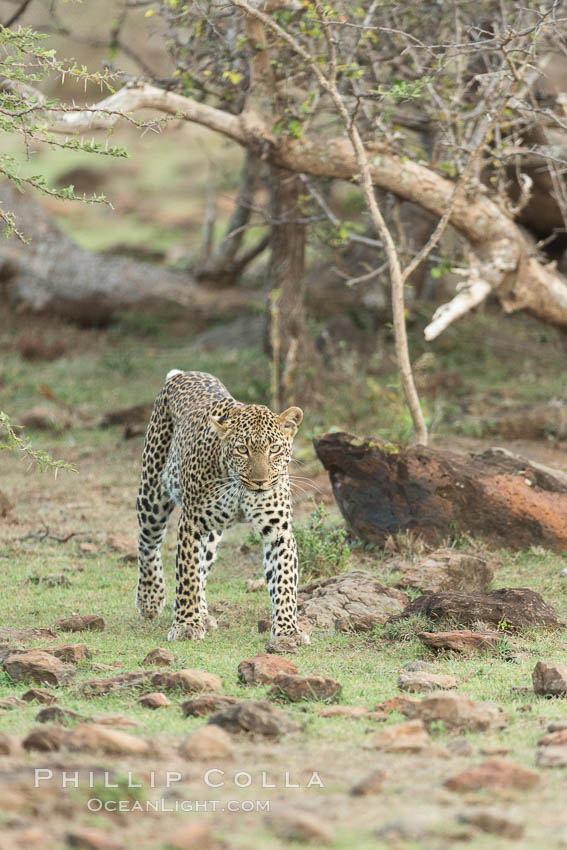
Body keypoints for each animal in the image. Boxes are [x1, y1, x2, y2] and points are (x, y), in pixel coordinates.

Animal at [136, 368, 308, 640]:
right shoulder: (192, 523)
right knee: (148, 544)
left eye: (274, 448)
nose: (260, 482)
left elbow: (284, 581)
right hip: (152, 493)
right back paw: (150, 599)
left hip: (212, 531)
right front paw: (186, 625)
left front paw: (288, 631)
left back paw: (203, 615)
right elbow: (187, 575)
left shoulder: (278, 531)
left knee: (203, 565)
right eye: (242, 449)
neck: (240, 490)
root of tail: (184, 373)